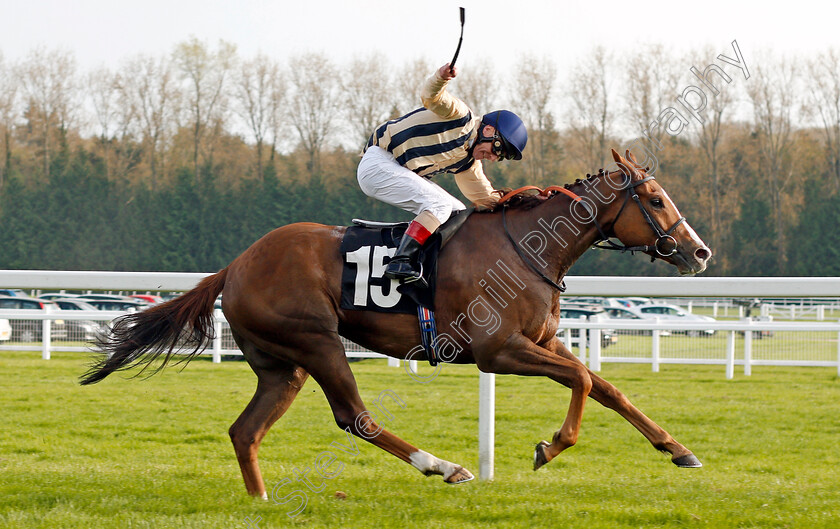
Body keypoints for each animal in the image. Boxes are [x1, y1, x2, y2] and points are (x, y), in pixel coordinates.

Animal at [79, 148, 712, 496]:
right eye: (656, 200)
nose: (699, 252)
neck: (527, 246)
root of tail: (235, 265)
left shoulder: (544, 341)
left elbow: (608, 388)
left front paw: (679, 449)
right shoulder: (497, 351)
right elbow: (582, 382)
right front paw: (550, 447)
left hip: (282, 366)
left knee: (246, 431)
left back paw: (260, 501)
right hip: (316, 342)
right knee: (354, 418)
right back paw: (445, 467)